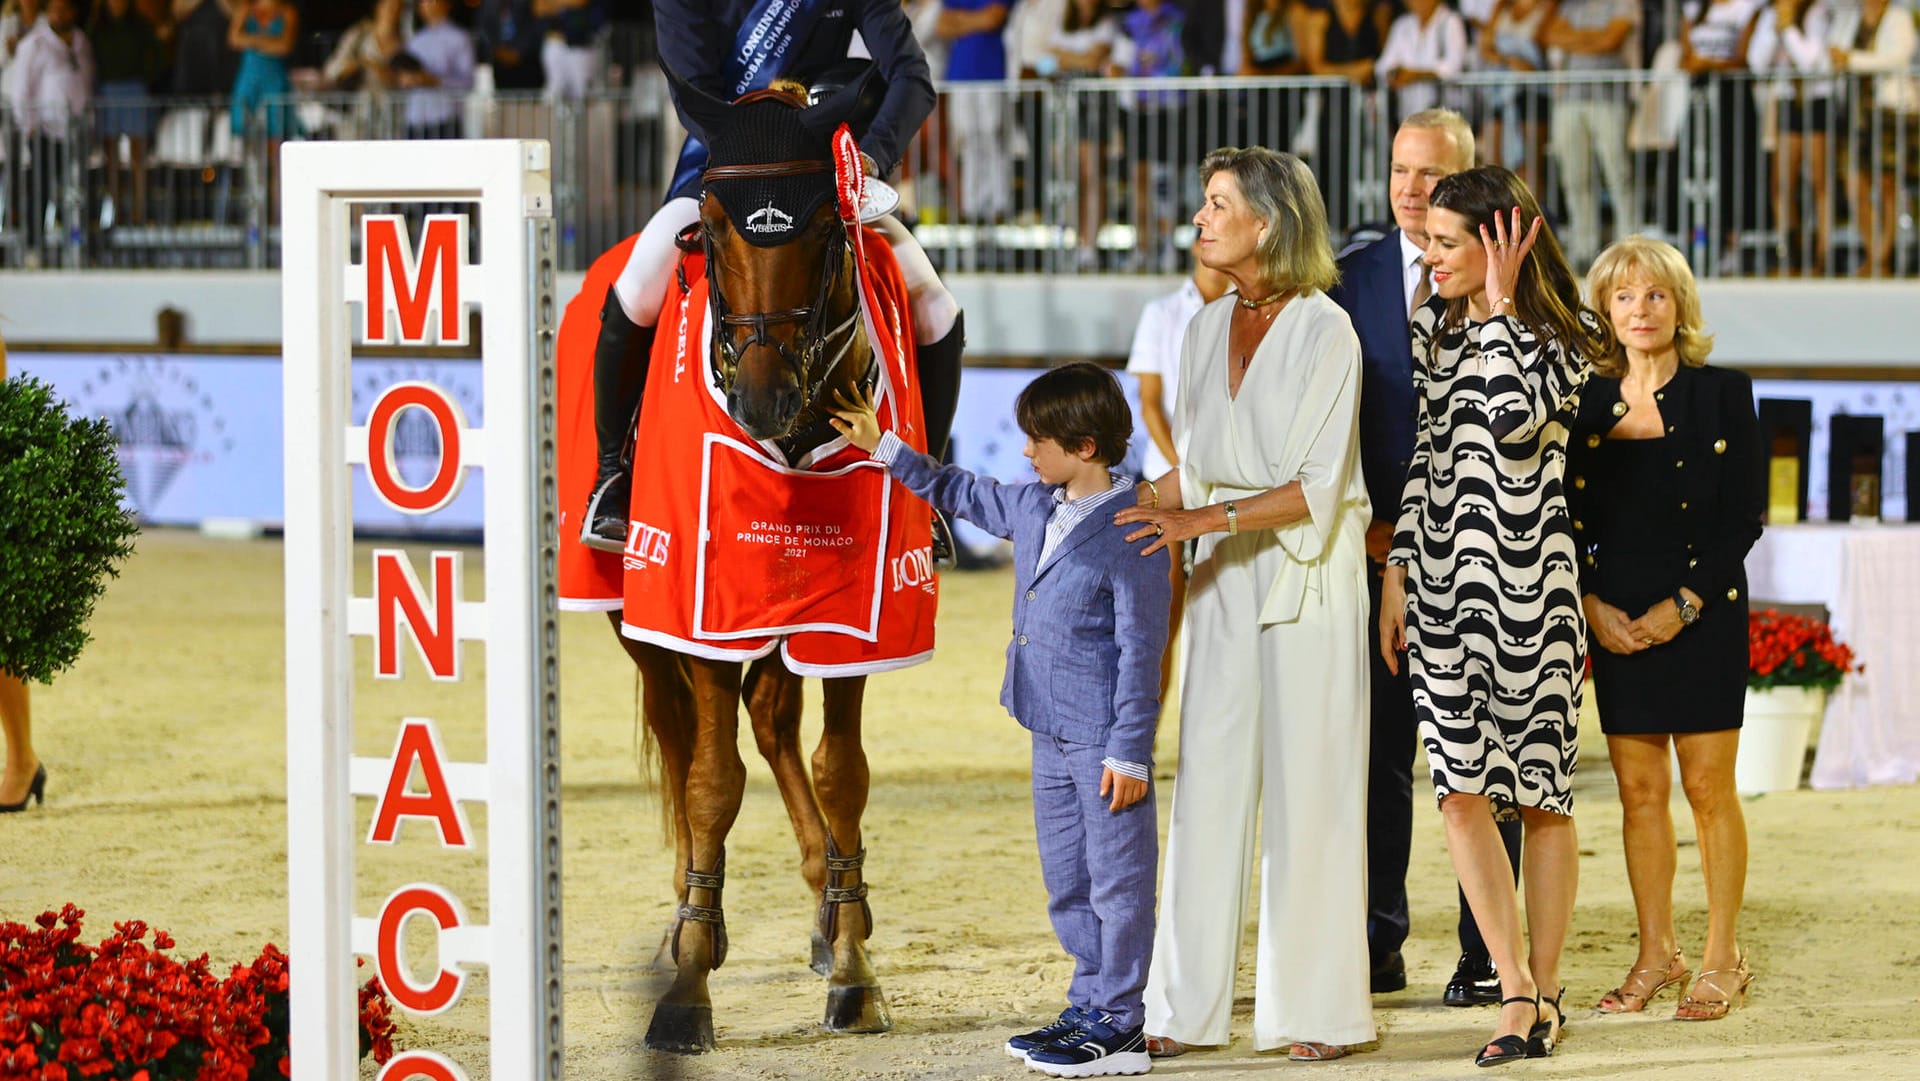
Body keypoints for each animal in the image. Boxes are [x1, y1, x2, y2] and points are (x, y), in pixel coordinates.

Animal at [568, 63, 921, 1052]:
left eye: (828, 225)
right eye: (712, 229)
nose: (764, 395)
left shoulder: (854, 619)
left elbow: (843, 773)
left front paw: (854, 964)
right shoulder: (700, 614)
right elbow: (710, 783)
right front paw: (689, 982)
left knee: (771, 721)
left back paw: (827, 906)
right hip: (642, 620)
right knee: (687, 740)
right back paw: (696, 914)